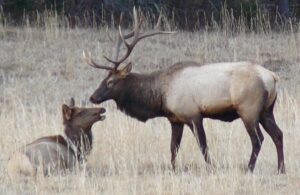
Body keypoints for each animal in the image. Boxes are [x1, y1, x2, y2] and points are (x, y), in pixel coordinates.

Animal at [83, 7, 284, 174]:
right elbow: (173, 147)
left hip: (248, 109)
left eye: (110, 81)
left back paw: (249, 168)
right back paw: (281, 168)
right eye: (104, 79)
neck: (161, 96)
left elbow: (203, 146)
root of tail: (273, 77)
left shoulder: (193, 115)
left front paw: (212, 168)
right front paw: (173, 169)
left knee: (258, 139)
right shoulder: (175, 119)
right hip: (267, 110)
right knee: (278, 134)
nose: (92, 97)